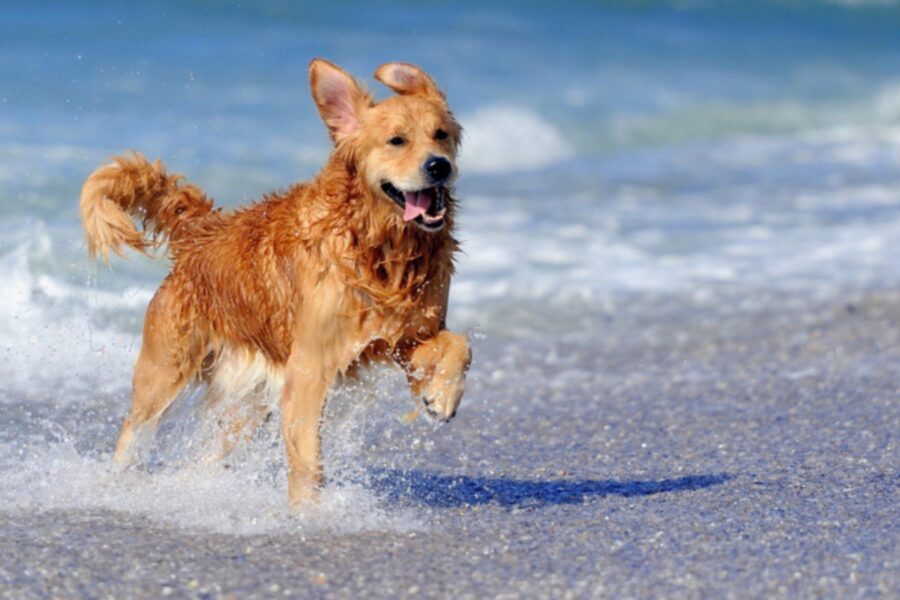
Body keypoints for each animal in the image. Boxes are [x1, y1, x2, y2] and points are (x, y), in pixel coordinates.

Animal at [81, 58, 472, 504]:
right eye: (397, 141)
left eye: (441, 135)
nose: (438, 165)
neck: (378, 246)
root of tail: (201, 232)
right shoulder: (310, 367)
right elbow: (307, 459)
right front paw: (310, 512)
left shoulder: (404, 337)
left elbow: (458, 344)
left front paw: (441, 396)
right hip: (165, 370)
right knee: (134, 429)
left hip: (247, 401)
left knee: (210, 453)